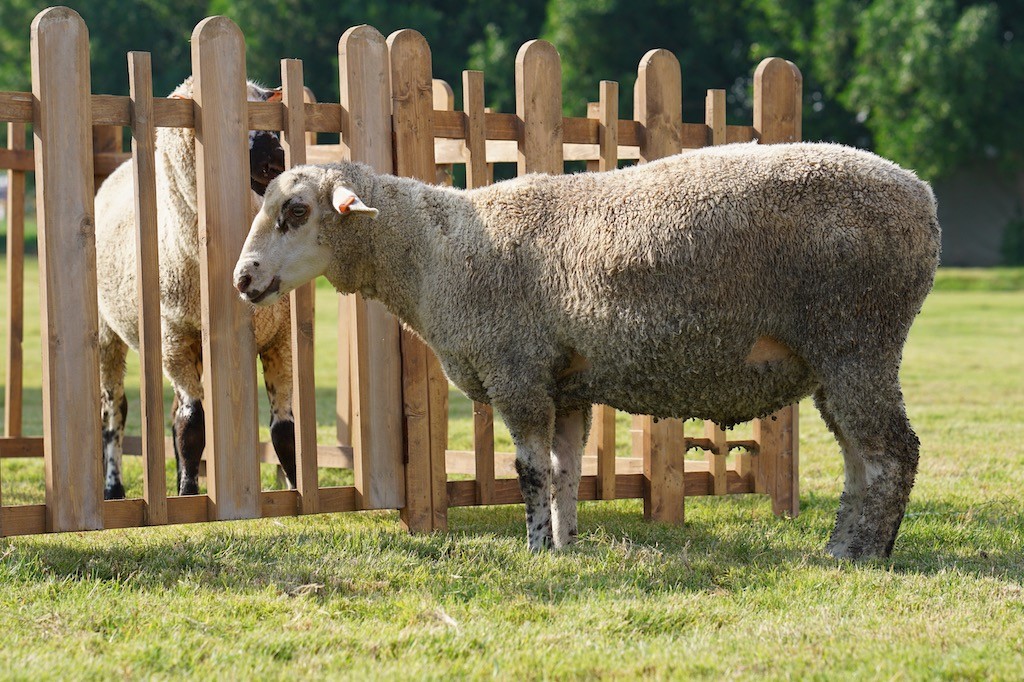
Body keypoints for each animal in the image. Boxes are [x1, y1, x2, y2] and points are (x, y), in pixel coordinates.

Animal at [94, 76, 297, 500]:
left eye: (265, 109)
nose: (275, 158)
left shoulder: (281, 336)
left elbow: (284, 430)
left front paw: (296, 489)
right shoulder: (174, 339)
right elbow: (192, 424)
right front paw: (189, 492)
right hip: (107, 333)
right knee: (114, 409)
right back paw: (114, 487)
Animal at [232, 142, 941, 559]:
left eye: (296, 212)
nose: (242, 279)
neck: (436, 252)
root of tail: (923, 197)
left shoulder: (515, 370)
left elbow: (528, 471)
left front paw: (536, 551)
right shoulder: (564, 385)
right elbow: (565, 471)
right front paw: (566, 545)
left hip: (857, 337)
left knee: (891, 452)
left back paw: (865, 554)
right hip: (836, 357)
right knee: (861, 456)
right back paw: (841, 545)